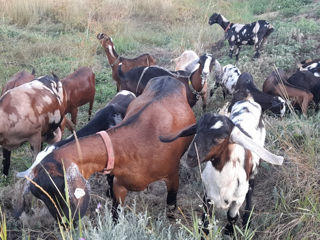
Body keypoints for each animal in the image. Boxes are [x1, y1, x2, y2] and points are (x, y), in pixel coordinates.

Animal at [15, 77, 195, 223]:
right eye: (41, 197)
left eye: (58, 191)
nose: (65, 223)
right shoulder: (118, 185)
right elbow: (116, 215)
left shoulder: (173, 177)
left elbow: (171, 206)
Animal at [160, 89, 282, 234]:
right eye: (196, 130)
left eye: (221, 138)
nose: (191, 157)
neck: (222, 183)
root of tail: (247, 99)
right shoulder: (207, 196)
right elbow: (205, 223)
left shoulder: (237, 201)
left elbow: (232, 217)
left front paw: (230, 231)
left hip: (253, 173)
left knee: (250, 191)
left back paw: (247, 221)